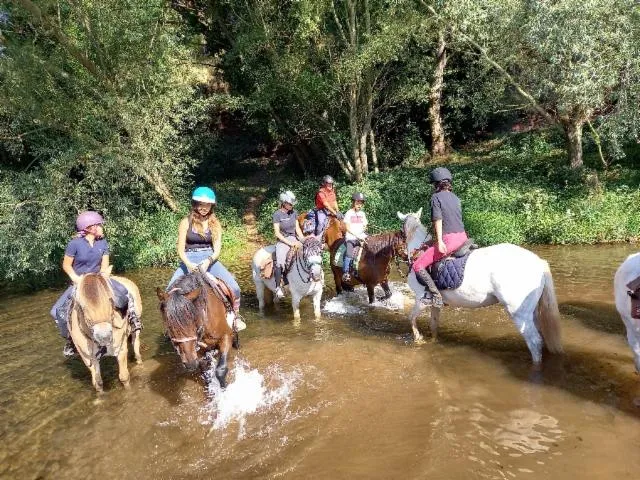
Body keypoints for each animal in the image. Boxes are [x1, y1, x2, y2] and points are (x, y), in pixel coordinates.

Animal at [398, 208, 564, 366]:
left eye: (400, 231)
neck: (418, 253)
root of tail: (539, 262)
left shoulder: (421, 299)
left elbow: (411, 318)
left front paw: (418, 339)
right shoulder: (435, 303)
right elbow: (433, 325)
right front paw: (433, 341)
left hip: (519, 313)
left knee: (534, 341)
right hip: (532, 311)